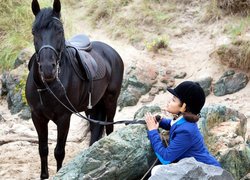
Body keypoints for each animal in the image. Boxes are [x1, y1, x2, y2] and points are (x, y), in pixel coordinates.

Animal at [25, 0, 123, 178]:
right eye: (34, 31)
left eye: (60, 31)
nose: (48, 69)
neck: (48, 86)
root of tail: (111, 52)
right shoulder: (37, 117)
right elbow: (43, 149)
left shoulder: (64, 118)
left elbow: (59, 152)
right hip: (93, 107)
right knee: (95, 131)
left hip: (111, 100)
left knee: (109, 128)